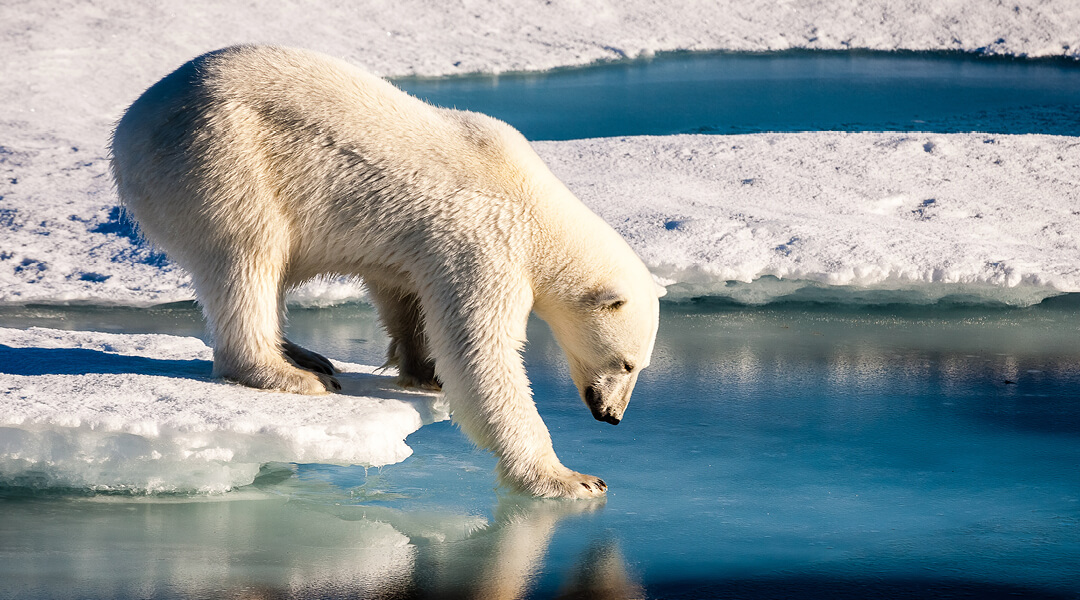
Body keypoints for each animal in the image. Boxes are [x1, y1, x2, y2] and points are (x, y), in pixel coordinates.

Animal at [109, 44, 656, 498]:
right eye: (628, 364)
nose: (612, 417)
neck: (535, 206)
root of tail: (130, 123)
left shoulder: (421, 248)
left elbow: (404, 295)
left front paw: (424, 372)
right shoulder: (485, 243)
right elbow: (481, 355)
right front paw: (571, 478)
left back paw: (305, 355)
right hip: (221, 159)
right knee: (248, 255)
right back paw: (290, 373)